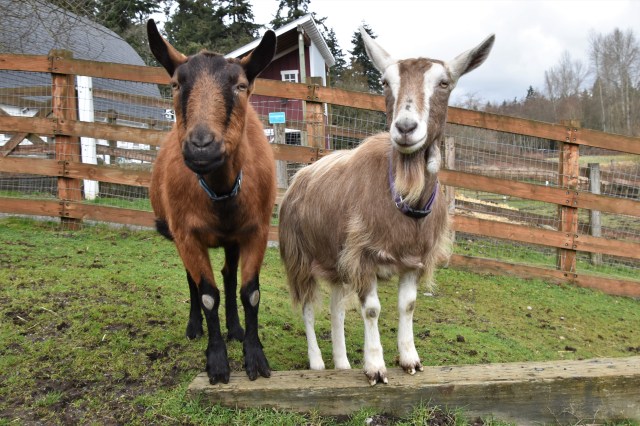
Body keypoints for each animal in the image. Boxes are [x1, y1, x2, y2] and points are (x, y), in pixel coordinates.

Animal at [146, 20, 276, 384]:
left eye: (242, 85)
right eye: (176, 84)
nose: (202, 146)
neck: (220, 192)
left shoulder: (256, 231)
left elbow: (250, 292)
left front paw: (255, 356)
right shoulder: (187, 235)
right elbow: (207, 294)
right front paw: (217, 362)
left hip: (232, 238)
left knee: (229, 275)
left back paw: (235, 328)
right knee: (194, 281)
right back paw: (195, 328)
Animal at [279, 28, 494, 385]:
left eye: (444, 83)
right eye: (384, 82)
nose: (405, 128)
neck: (404, 197)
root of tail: (299, 178)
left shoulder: (412, 259)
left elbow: (407, 306)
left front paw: (409, 359)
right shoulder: (363, 255)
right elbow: (371, 309)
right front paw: (375, 367)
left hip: (336, 258)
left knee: (336, 307)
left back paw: (341, 363)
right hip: (299, 257)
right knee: (308, 308)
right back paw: (318, 363)